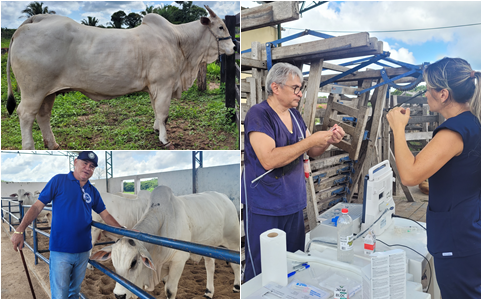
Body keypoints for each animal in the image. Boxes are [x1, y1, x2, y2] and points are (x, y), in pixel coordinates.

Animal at [5, 7, 235, 150]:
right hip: (33, 90)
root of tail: (35, 20)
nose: (234, 47)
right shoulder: (164, 84)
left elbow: (156, 111)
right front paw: (164, 138)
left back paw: (52, 144)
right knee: (25, 115)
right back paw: (29, 147)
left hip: (48, 92)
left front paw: (156, 129)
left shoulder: (154, 87)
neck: (179, 42)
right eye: (221, 27)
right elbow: (163, 113)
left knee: (43, 116)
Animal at [89, 186, 240, 298]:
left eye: (133, 262)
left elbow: (170, 290)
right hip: (209, 246)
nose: (119, 295)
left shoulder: (178, 261)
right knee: (210, 265)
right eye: (114, 262)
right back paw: (209, 292)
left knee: (235, 264)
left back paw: (236, 286)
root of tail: (224, 197)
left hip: (233, 241)